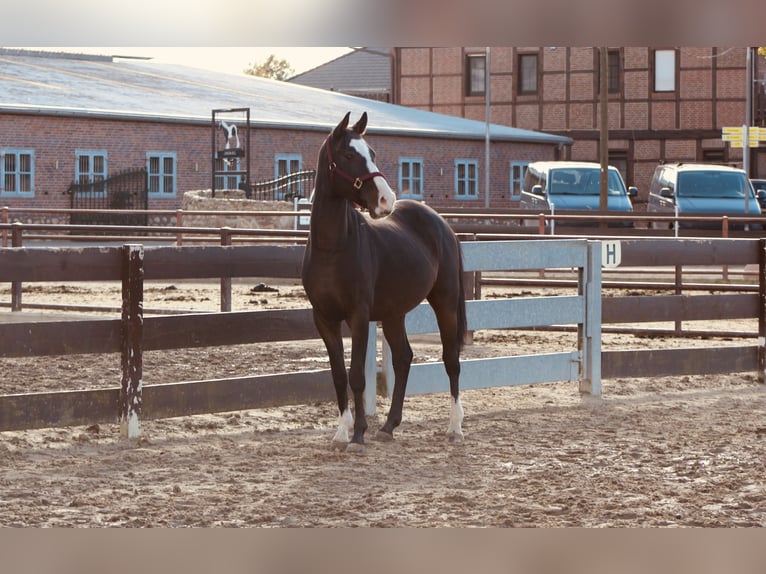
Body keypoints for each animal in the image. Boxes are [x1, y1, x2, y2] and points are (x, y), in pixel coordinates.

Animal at [302, 112, 468, 454]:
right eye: (348, 155)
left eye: (373, 153)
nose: (385, 199)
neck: (333, 248)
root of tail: (442, 224)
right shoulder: (324, 318)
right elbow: (338, 375)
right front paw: (341, 434)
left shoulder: (359, 316)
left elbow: (356, 376)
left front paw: (358, 436)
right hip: (394, 314)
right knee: (404, 359)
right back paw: (389, 426)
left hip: (445, 302)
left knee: (451, 360)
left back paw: (455, 429)